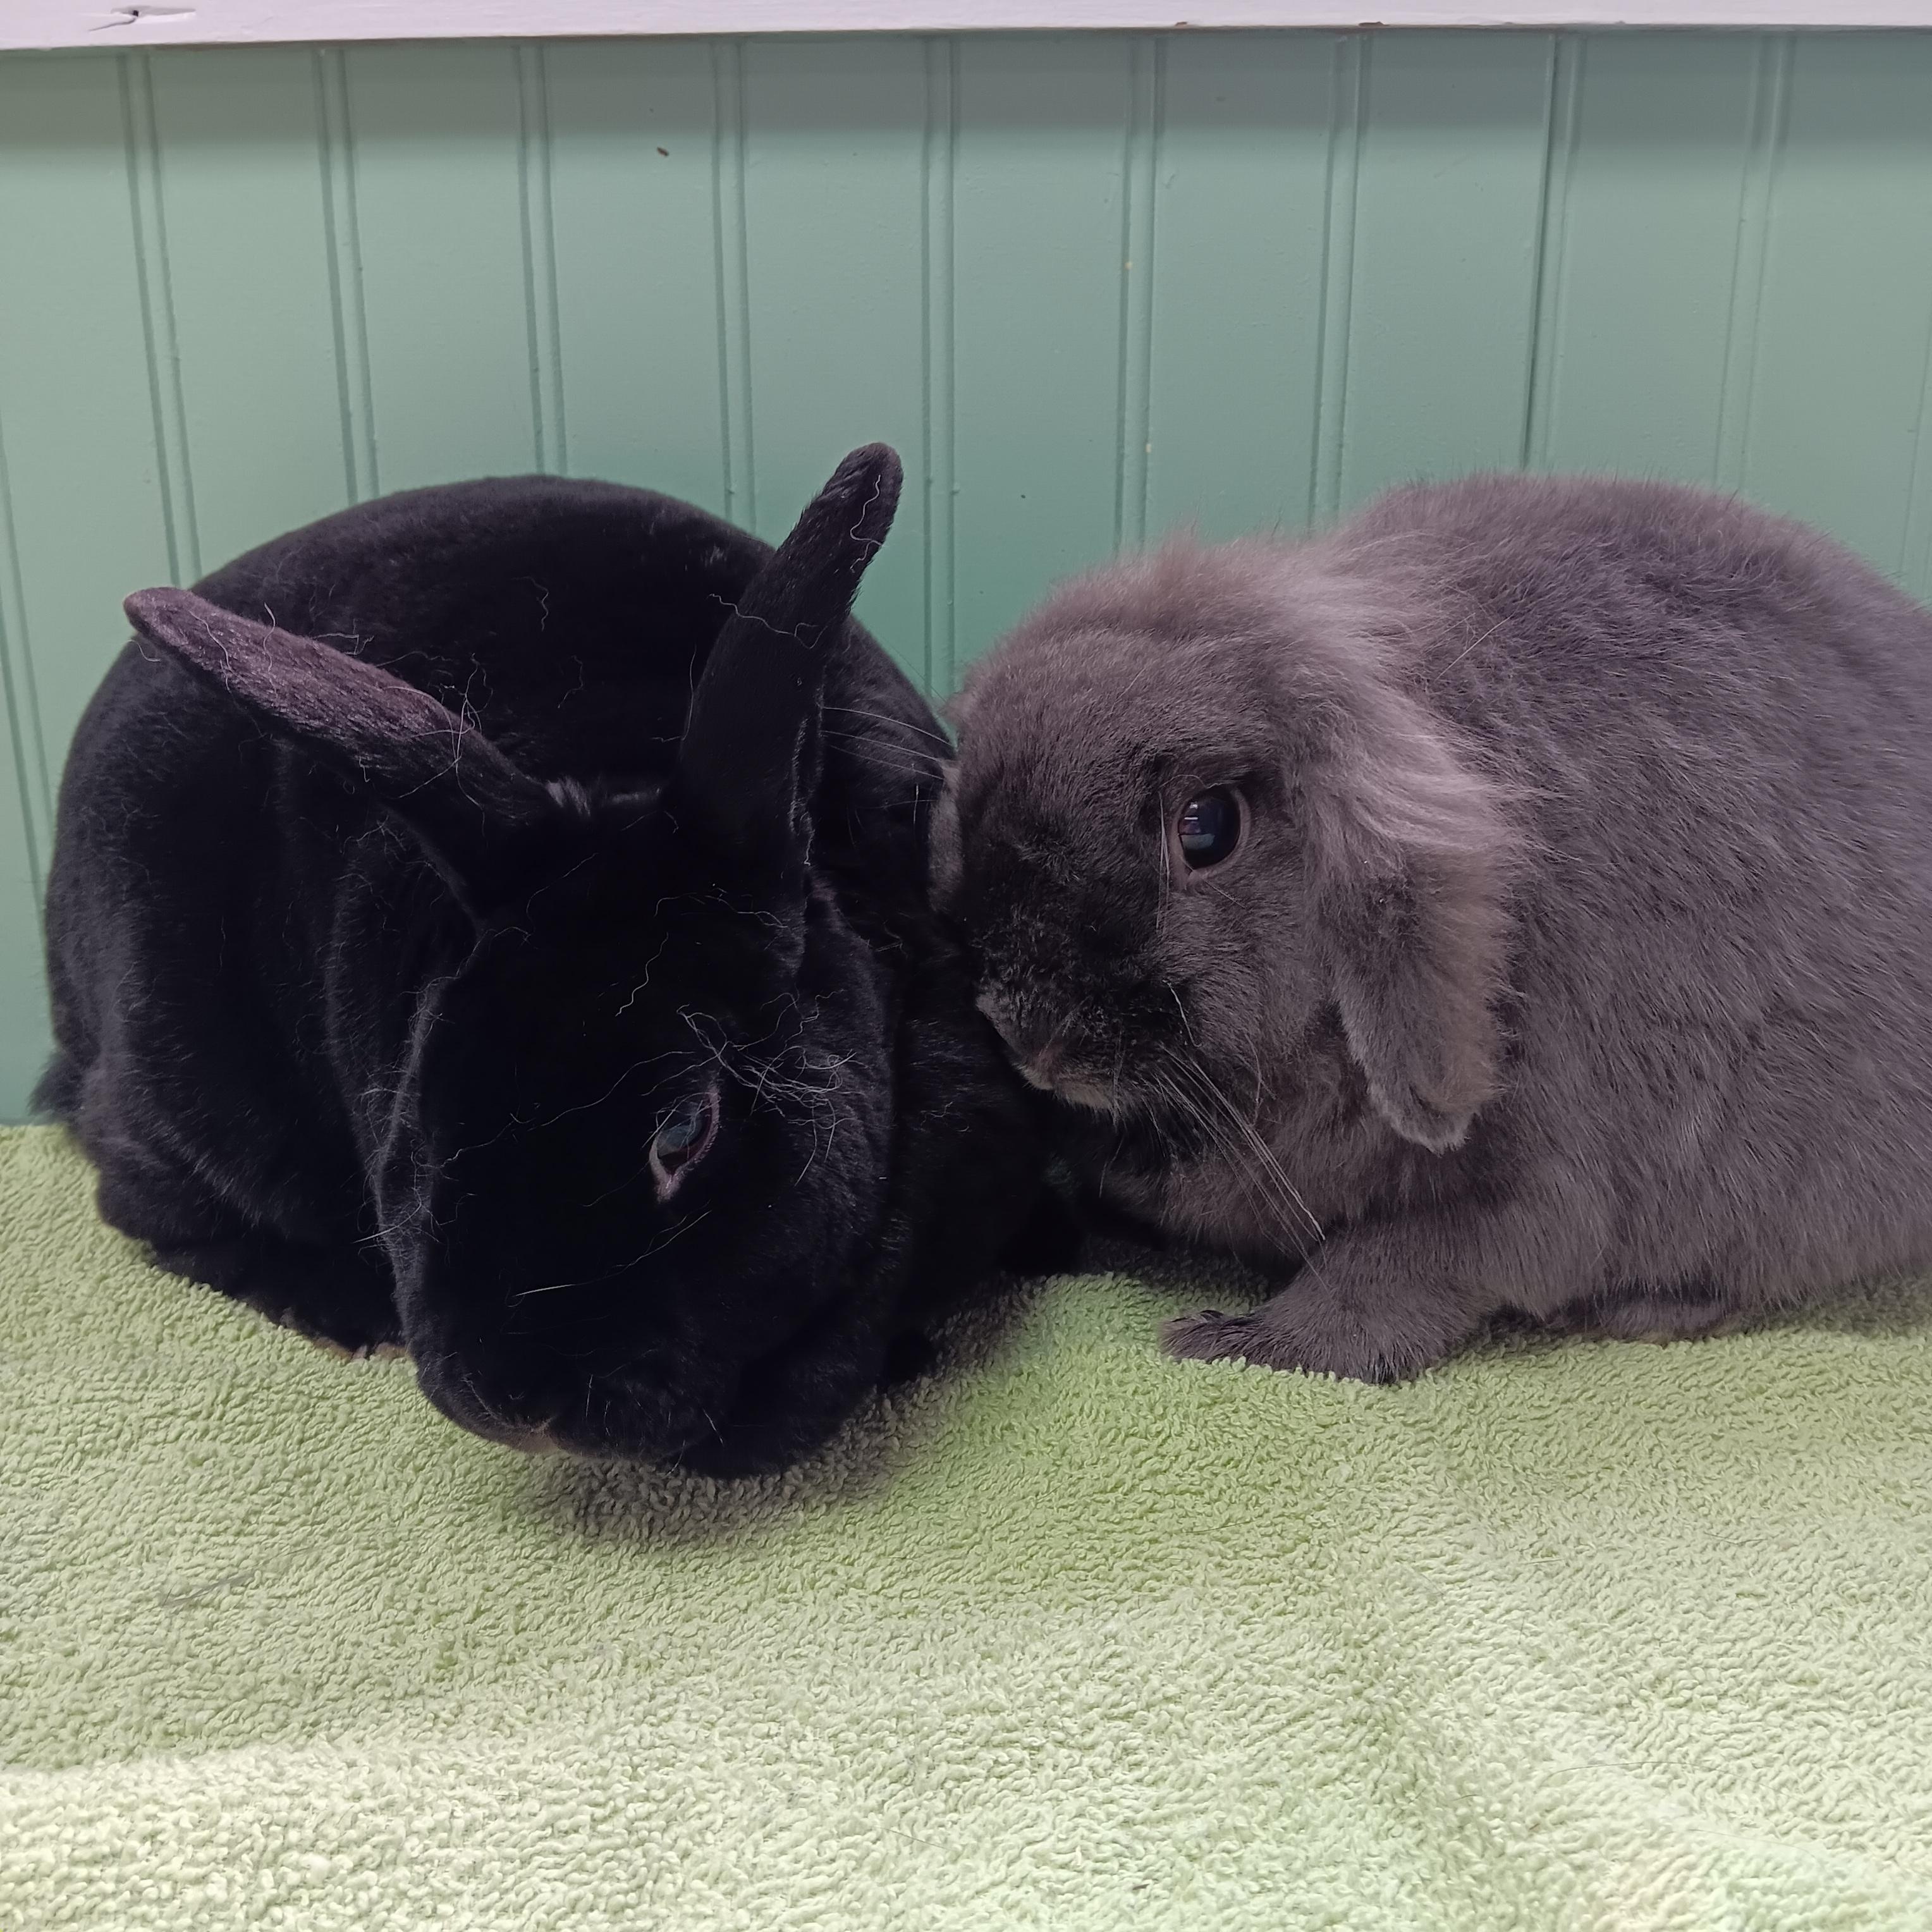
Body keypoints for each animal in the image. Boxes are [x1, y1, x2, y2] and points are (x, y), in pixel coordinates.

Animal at [933, 471, 1932, 1383]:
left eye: (1207, 826)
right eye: (969, 808)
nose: (1029, 1038)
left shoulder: (1524, 1199)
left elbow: (1378, 1279)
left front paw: (1231, 1340)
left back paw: (1648, 1311)